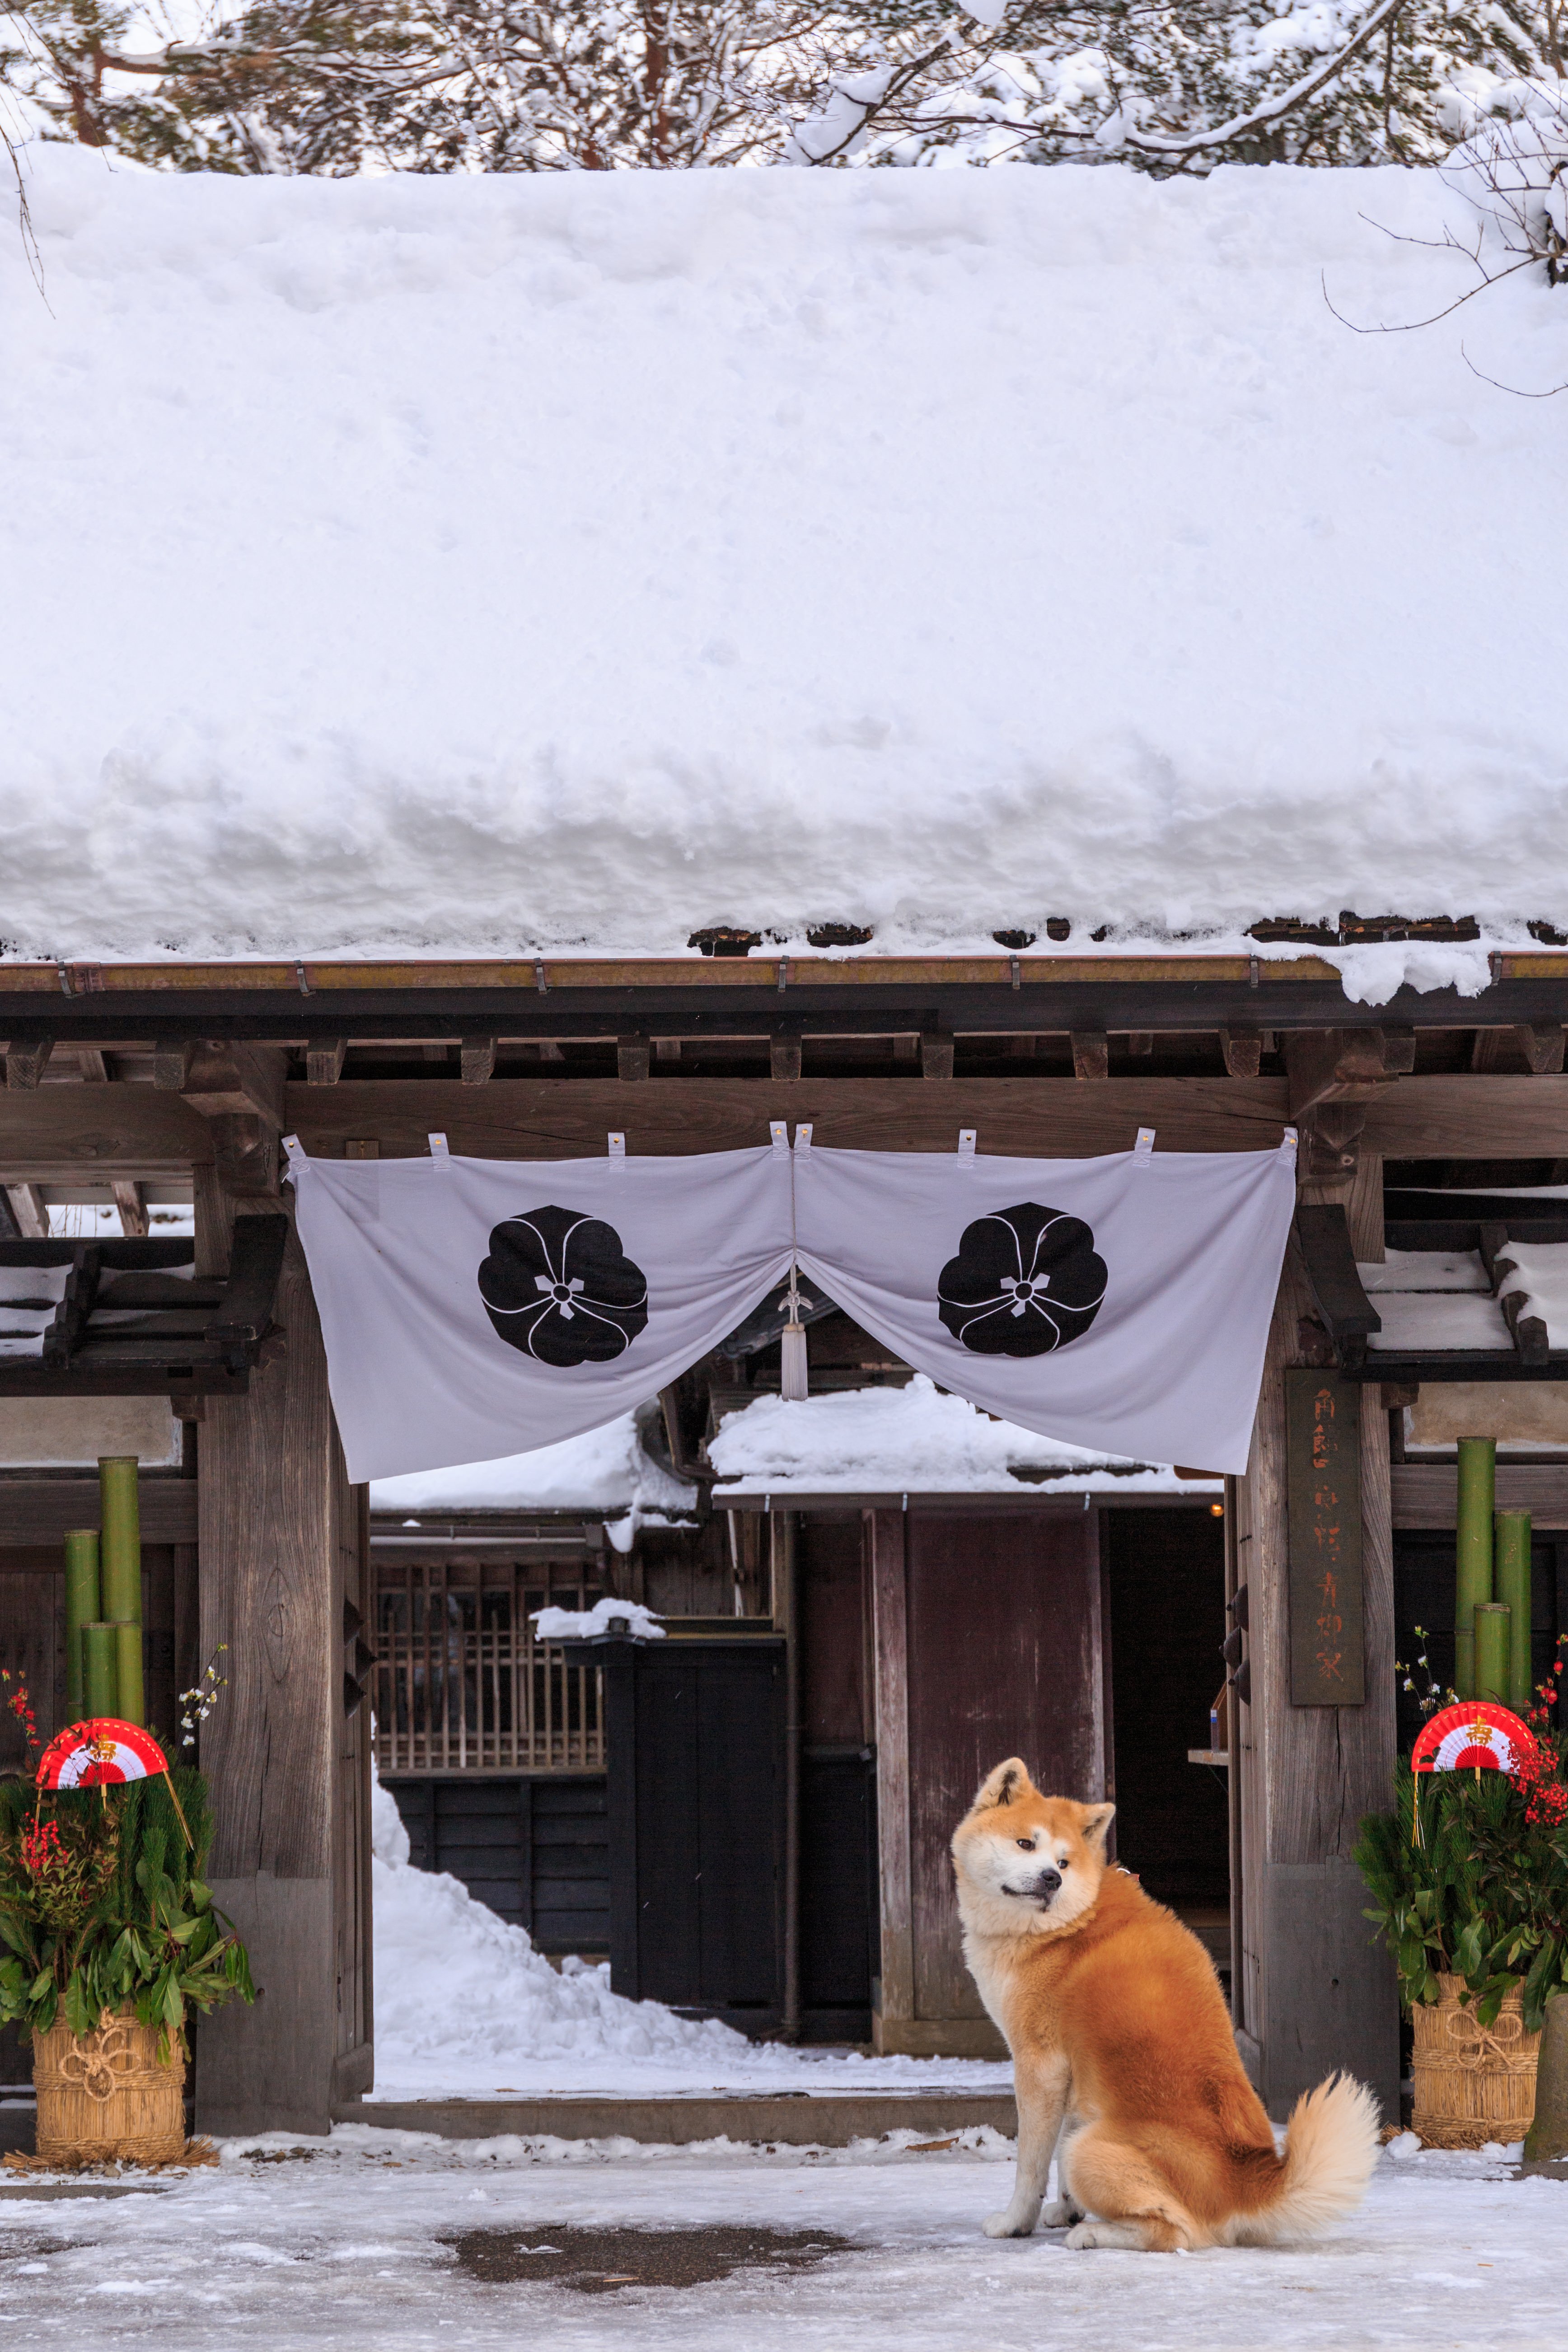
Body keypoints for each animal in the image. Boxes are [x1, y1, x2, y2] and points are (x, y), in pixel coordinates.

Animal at [950, 1768, 1382, 2248]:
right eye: (1026, 1843)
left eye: (1063, 1863)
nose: (1050, 1879)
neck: (1069, 1924)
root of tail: (1248, 2183)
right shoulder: (1075, 2074)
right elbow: (1057, 2153)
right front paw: (1066, 2209)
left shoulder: (1040, 2064)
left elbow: (1031, 2164)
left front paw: (1014, 2223)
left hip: (1091, 2148)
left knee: (1175, 2232)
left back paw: (1093, 2234)